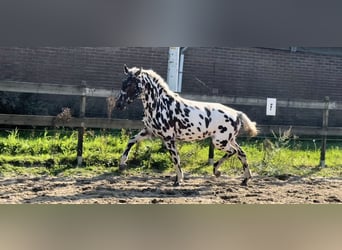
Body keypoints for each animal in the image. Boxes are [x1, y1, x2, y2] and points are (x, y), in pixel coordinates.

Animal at [116, 65, 258, 187]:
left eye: (131, 84)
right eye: (123, 83)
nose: (119, 105)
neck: (161, 104)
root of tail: (237, 114)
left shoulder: (168, 139)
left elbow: (175, 159)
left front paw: (178, 180)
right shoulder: (149, 132)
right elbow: (131, 141)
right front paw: (122, 164)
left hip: (220, 142)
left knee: (234, 152)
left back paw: (217, 171)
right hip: (229, 140)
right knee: (242, 153)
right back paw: (245, 179)